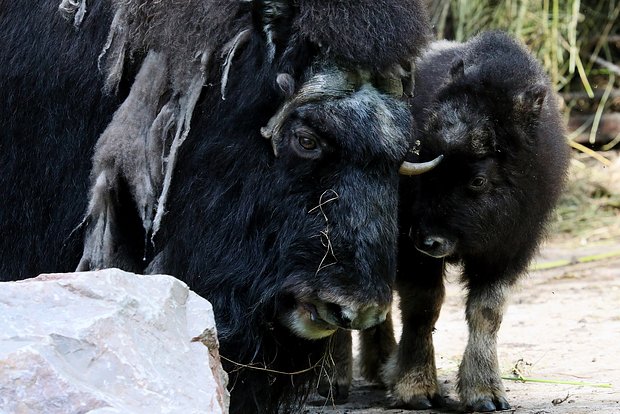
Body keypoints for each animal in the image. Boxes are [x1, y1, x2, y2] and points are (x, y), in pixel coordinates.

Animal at [372, 31, 572, 410]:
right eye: (426, 161)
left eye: (478, 179)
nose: (428, 240)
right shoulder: (410, 254)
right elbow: (422, 307)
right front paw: (415, 390)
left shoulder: (506, 252)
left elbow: (486, 312)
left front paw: (485, 393)